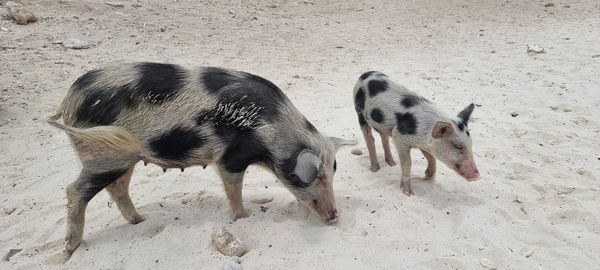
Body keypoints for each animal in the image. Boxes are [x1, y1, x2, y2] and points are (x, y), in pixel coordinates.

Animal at [50, 62, 356, 254]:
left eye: (332, 174)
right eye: (312, 177)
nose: (334, 217)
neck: (272, 130)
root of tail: (67, 101)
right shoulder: (230, 158)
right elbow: (233, 190)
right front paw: (244, 216)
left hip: (124, 156)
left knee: (117, 188)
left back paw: (140, 221)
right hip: (104, 154)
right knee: (75, 190)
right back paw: (71, 247)